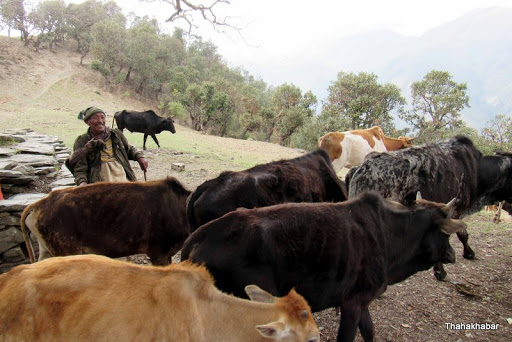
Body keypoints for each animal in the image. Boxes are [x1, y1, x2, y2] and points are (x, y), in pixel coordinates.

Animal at [182, 192, 466, 342]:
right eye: (445, 234)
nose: (452, 255)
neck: (387, 234)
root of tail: (198, 236)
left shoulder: (361, 301)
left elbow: (370, 331)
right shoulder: (352, 304)